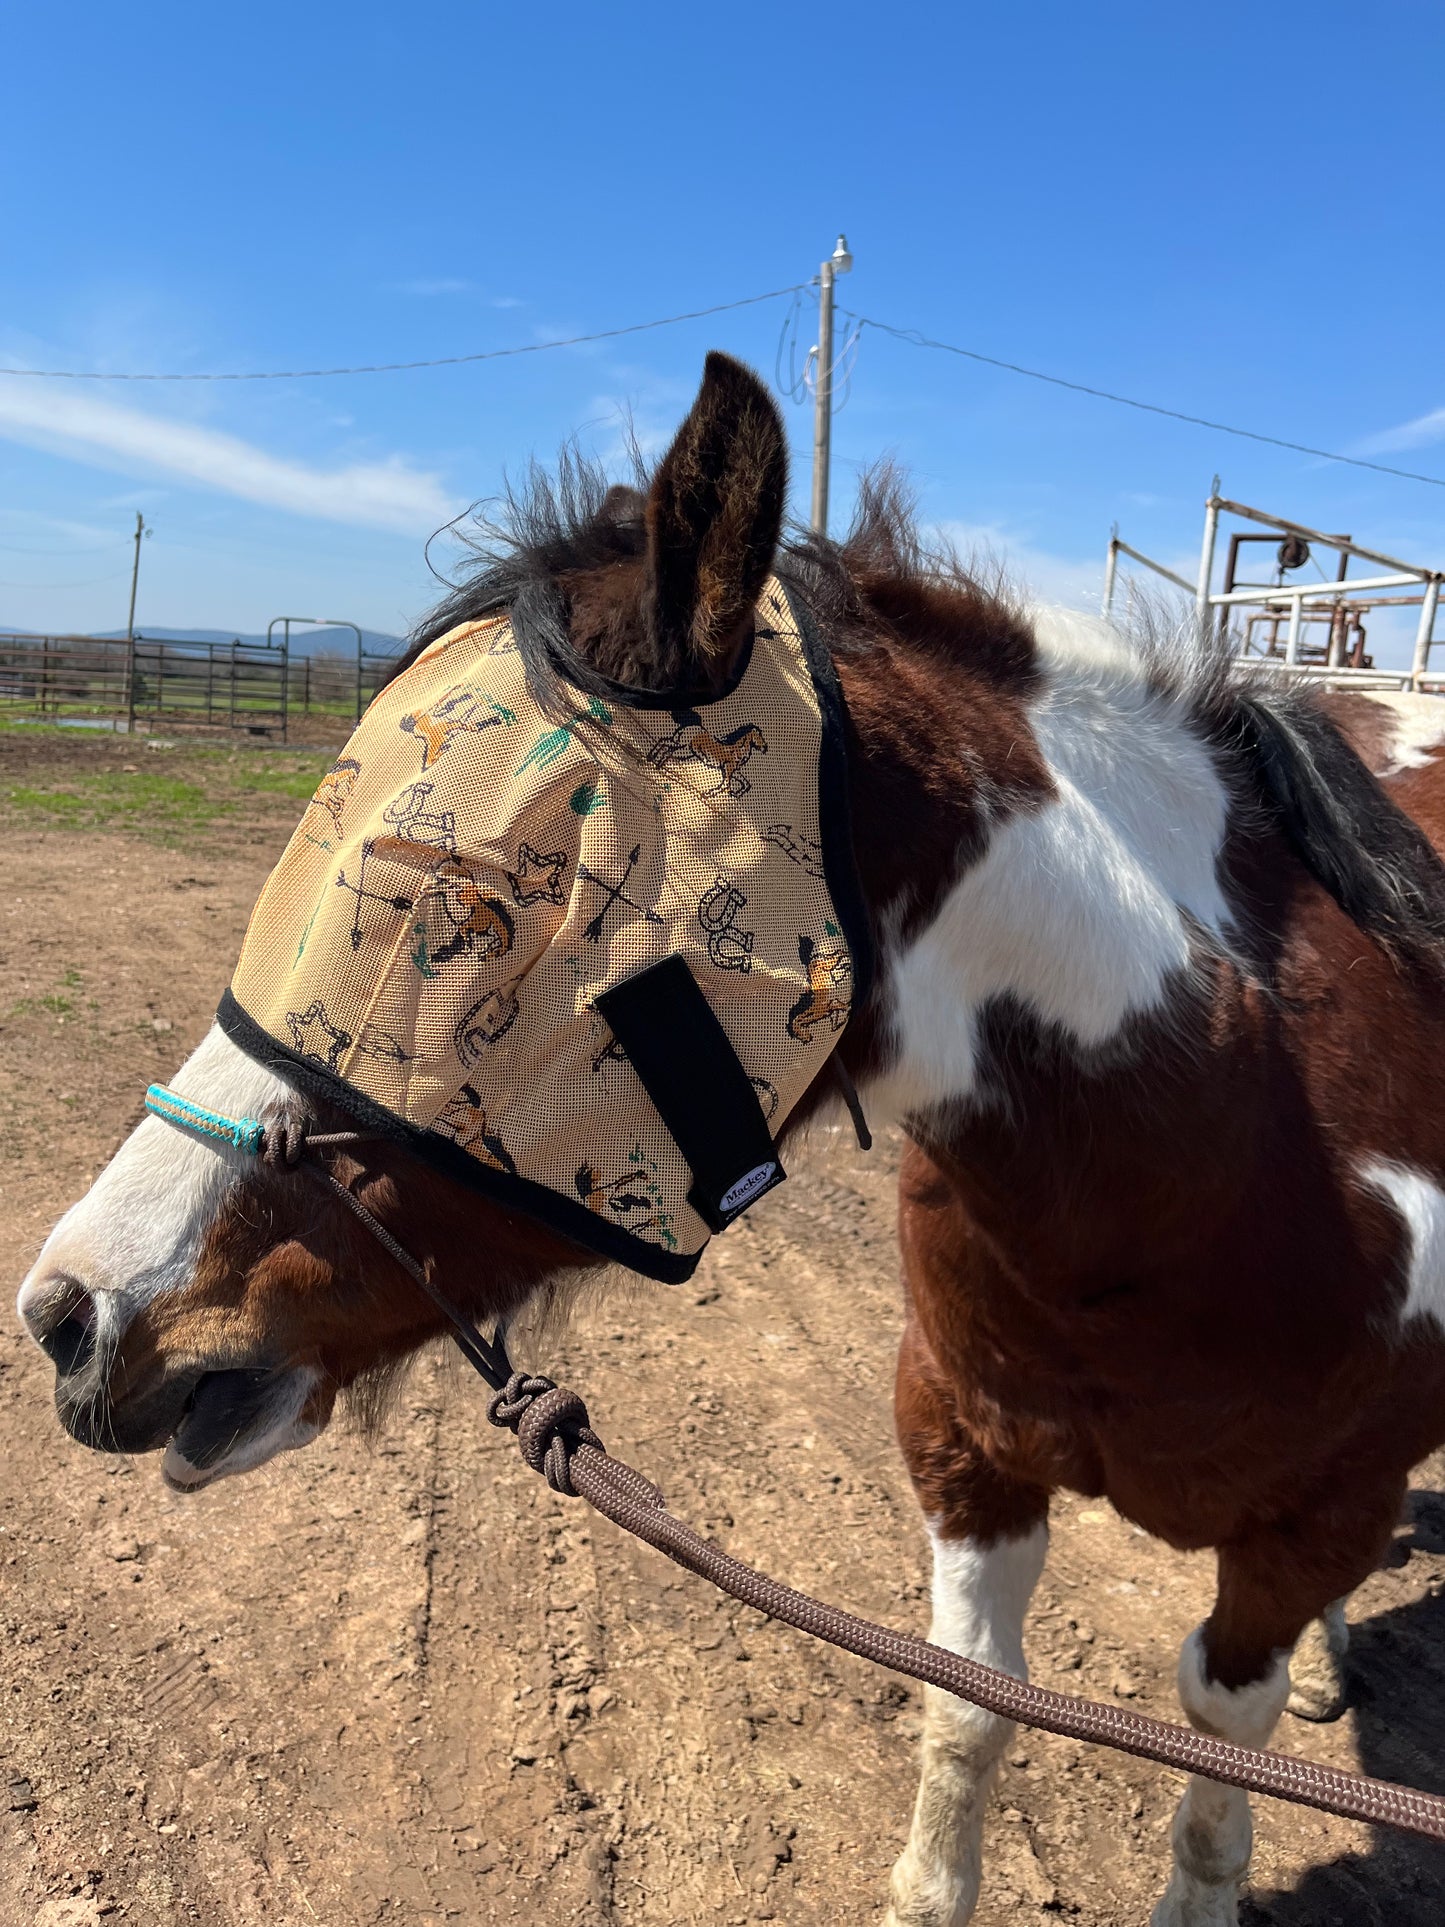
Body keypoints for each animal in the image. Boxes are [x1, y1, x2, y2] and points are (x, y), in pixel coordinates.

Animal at [16, 350, 1445, 1927]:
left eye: (476, 905)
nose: (73, 1308)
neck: (1220, 1166)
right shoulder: (964, 1452)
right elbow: (971, 1711)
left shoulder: (1306, 1517)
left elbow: (1213, 1762)